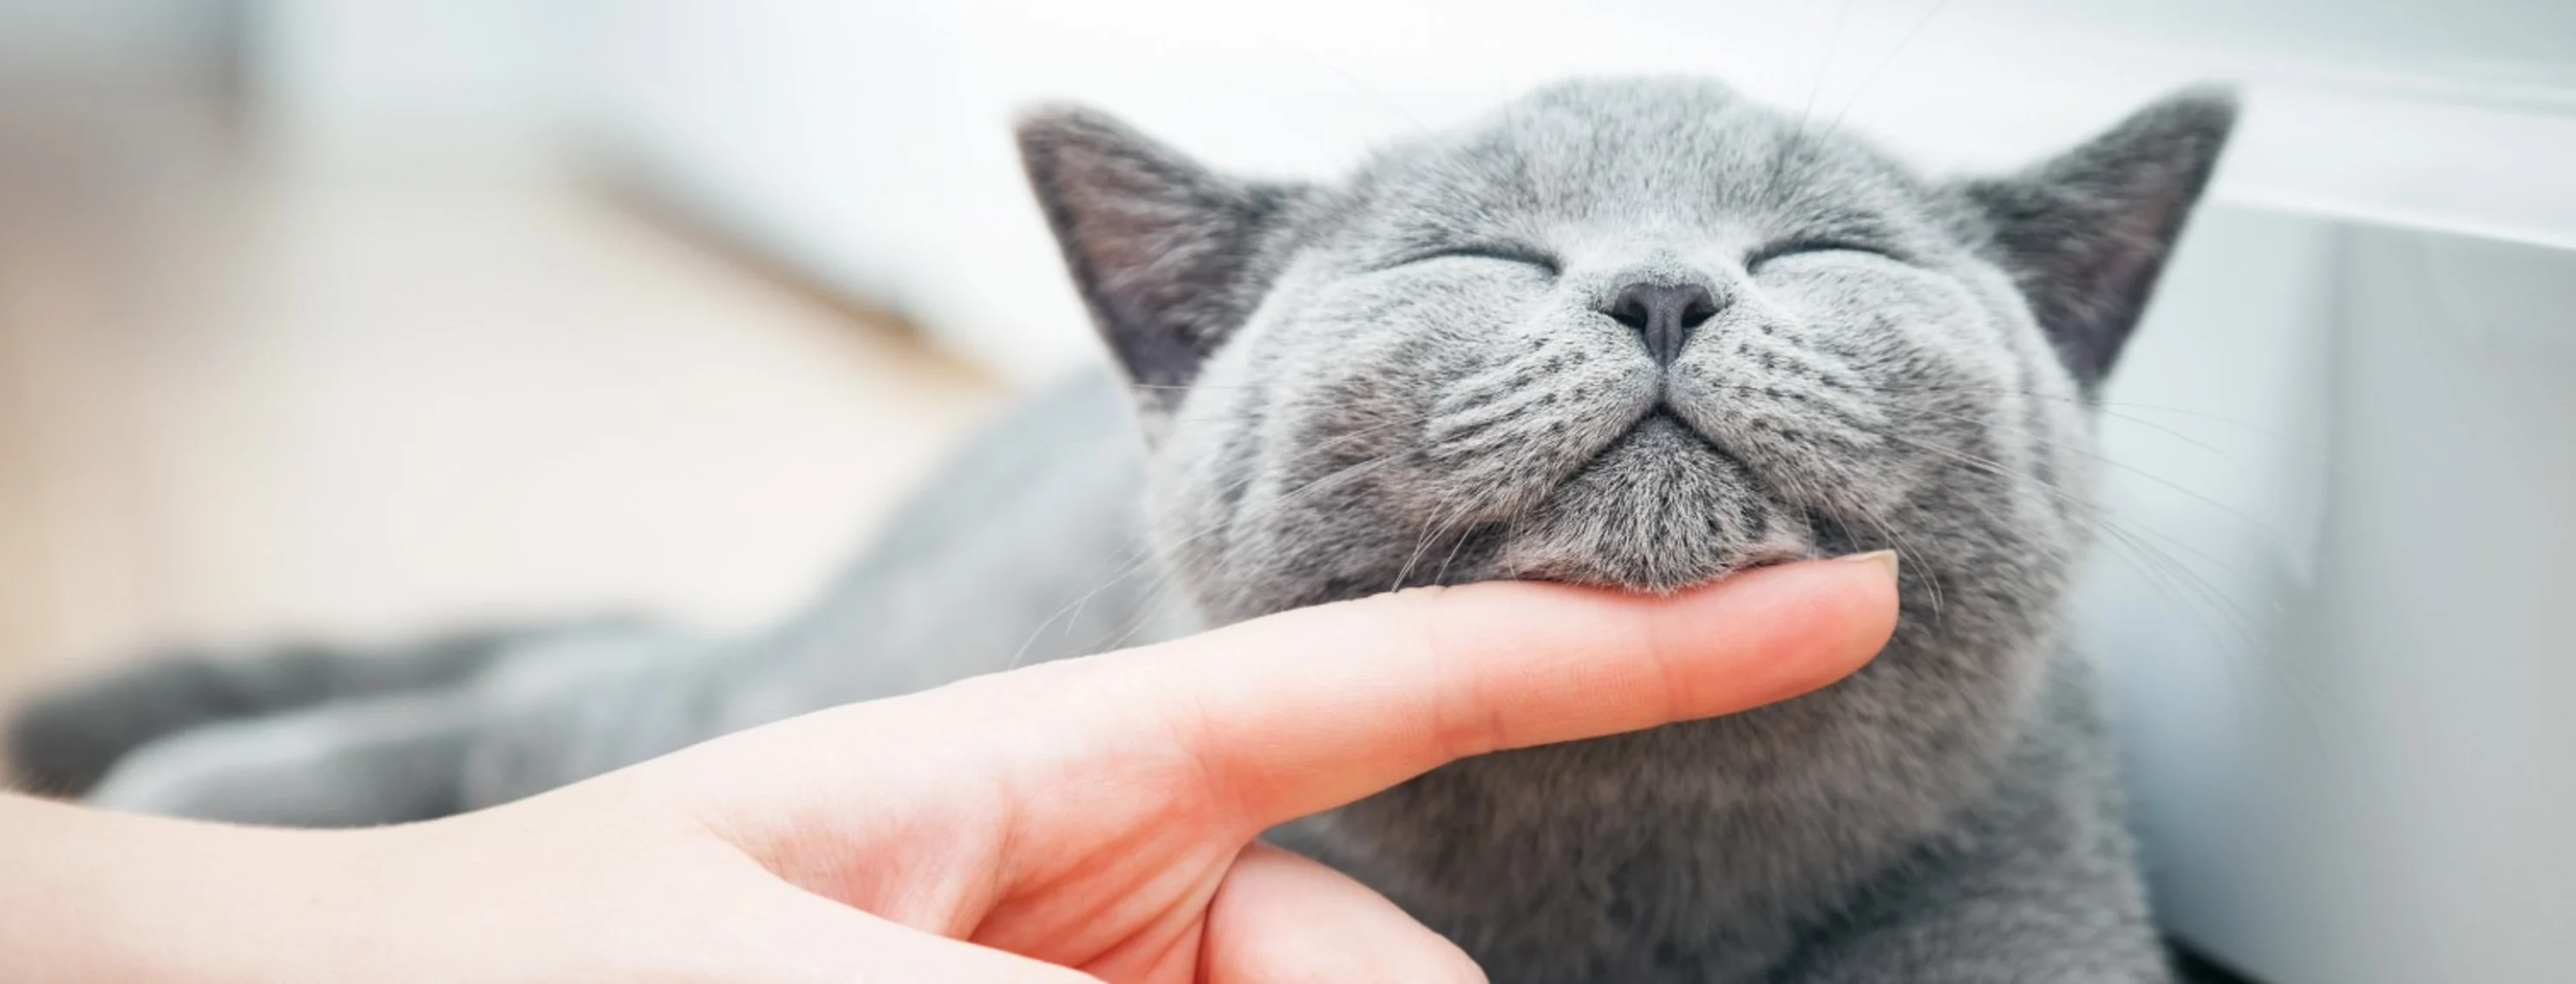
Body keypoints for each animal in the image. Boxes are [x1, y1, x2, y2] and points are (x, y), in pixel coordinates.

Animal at [10, 78, 2235, 984]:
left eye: (1825, 251)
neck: (1625, 890)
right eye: (1477, 254)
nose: (1666, 289)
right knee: (586, 699)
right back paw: (198, 800)